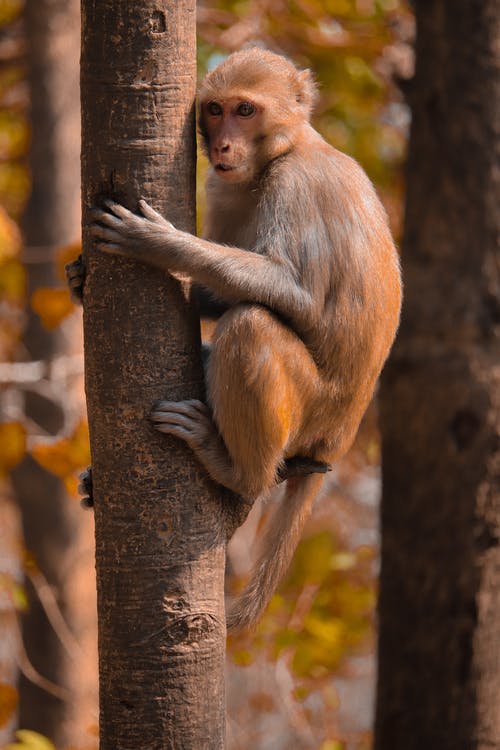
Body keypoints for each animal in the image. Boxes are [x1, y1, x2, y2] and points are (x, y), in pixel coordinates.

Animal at [75, 50, 402, 632]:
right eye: (215, 110)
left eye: (245, 111)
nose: (224, 146)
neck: (288, 148)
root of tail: (336, 439)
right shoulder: (228, 186)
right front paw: (76, 276)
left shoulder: (292, 187)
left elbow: (295, 294)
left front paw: (161, 244)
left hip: (312, 412)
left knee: (252, 325)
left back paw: (237, 471)